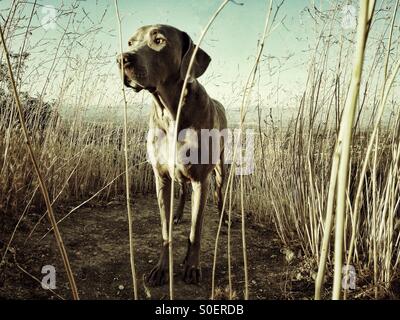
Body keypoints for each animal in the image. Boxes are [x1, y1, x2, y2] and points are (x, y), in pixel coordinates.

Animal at [117, 24, 227, 284]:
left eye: (159, 40)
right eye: (130, 42)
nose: (122, 58)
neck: (171, 111)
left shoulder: (201, 180)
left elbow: (196, 231)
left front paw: (192, 266)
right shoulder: (162, 178)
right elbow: (165, 231)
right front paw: (161, 268)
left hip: (221, 168)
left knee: (219, 192)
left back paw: (224, 217)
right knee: (183, 190)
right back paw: (178, 213)